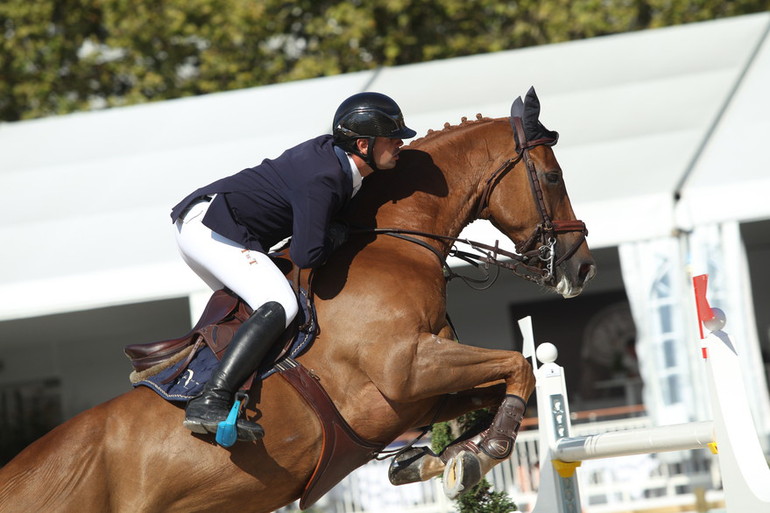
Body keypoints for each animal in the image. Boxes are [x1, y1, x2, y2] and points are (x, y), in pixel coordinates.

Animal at [0, 89, 592, 512]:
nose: (581, 266)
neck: (393, 243)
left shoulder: (419, 394)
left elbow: (495, 387)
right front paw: (476, 458)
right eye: (552, 175)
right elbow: (519, 365)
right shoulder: (407, 369)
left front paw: (432, 461)